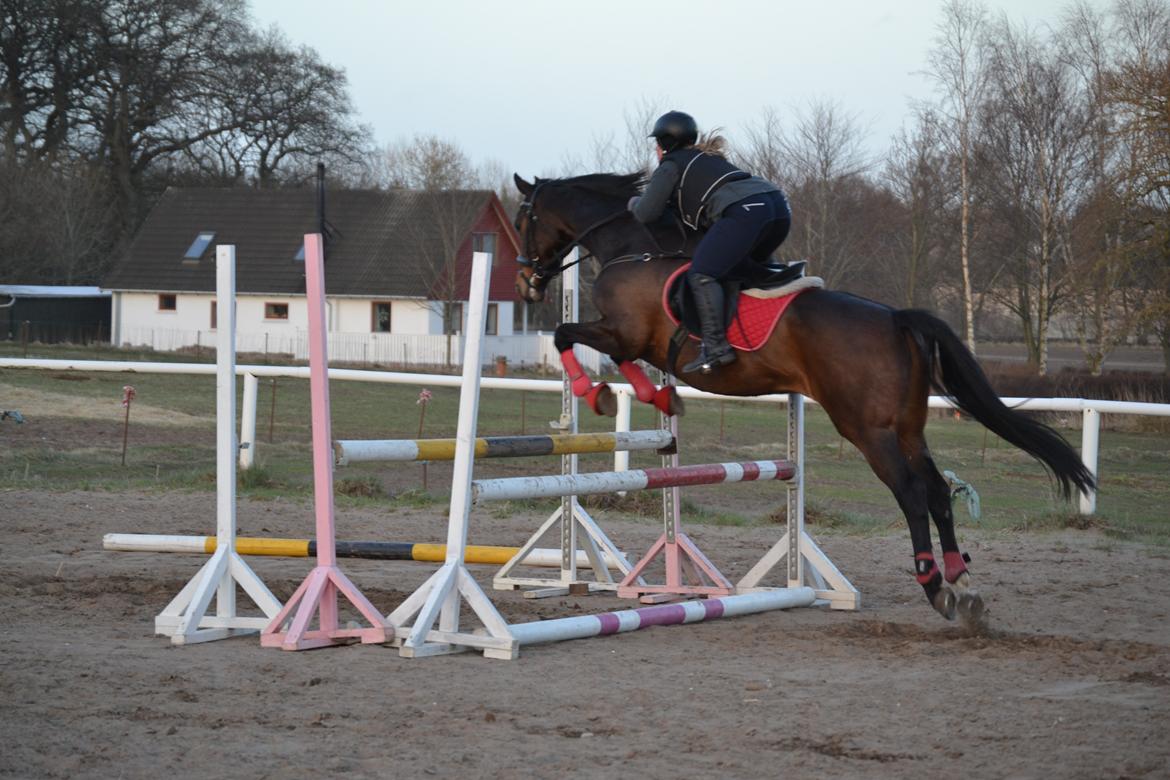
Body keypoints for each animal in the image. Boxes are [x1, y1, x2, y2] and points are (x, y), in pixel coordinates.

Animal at [512, 170, 1095, 622]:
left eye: (522, 220)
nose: (527, 283)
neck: (633, 248)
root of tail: (896, 319)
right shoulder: (630, 339)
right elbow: (607, 356)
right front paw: (652, 398)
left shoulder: (626, 334)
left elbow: (567, 335)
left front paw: (600, 394)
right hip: (906, 427)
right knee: (934, 489)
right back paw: (962, 584)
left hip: (866, 428)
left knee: (910, 492)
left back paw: (933, 584)